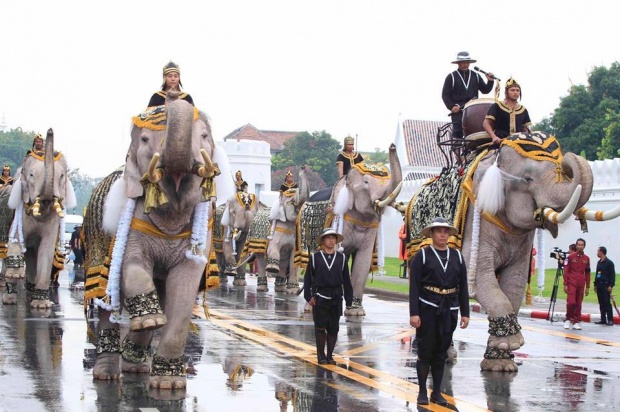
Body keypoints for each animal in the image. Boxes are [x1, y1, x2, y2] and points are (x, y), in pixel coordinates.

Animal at [296, 143, 402, 318]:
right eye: (366, 182)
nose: (392, 146)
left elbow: (363, 262)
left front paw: (356, 312)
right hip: (307, 231)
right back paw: (309, 308)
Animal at [406, 133, 596, 374]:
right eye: (527, 179)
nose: (568, 159)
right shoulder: (477, 221)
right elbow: (479, 277)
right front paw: (512, 343)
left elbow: (514, 283)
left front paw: (501, 364)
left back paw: (447, 356)